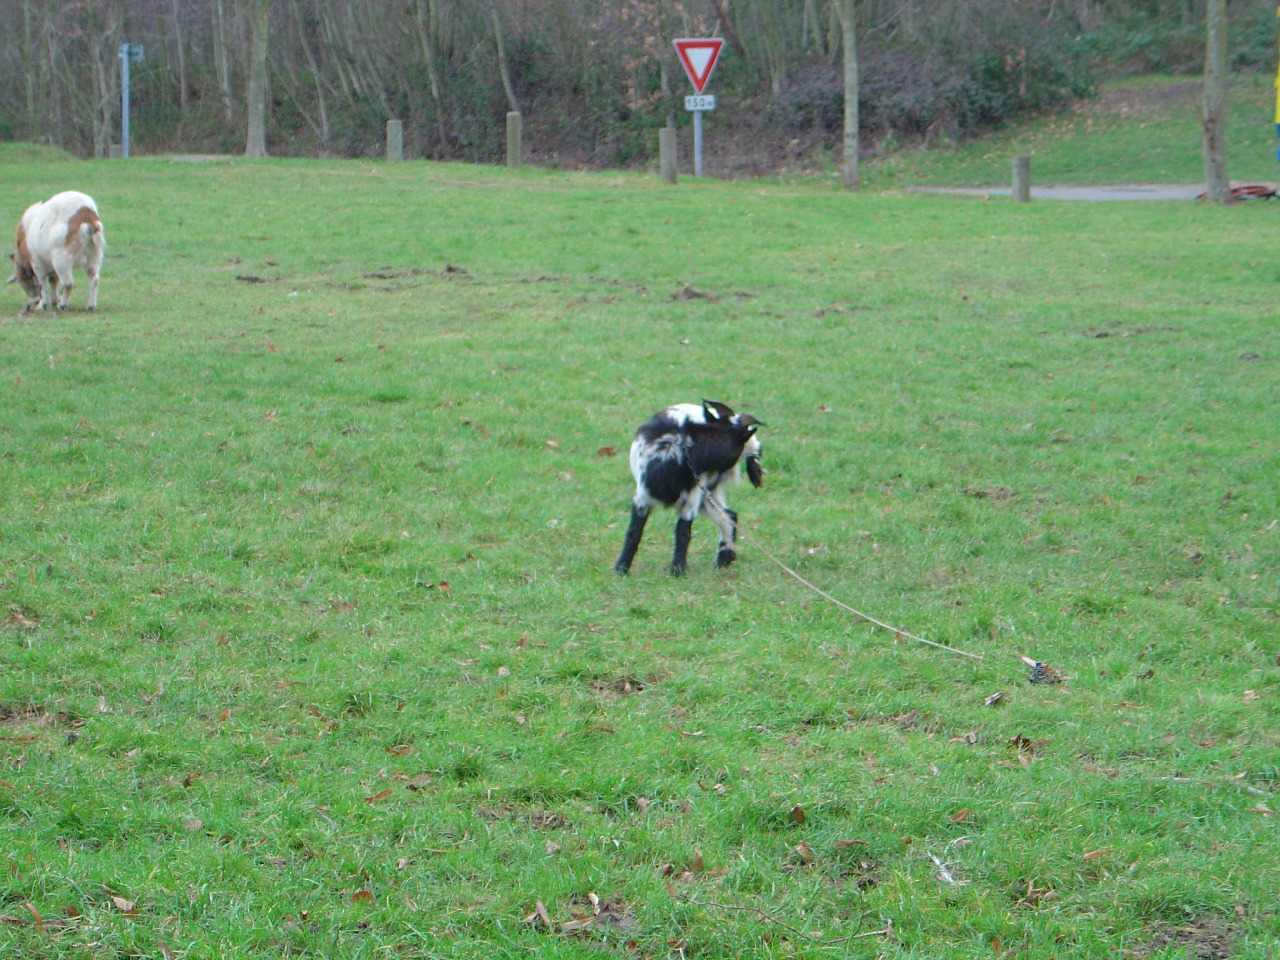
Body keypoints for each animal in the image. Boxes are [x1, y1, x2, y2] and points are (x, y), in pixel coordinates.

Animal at [616, 399, 762, 578]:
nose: (757, 452)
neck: (684, 451)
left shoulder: (692, 497)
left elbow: (683, 532)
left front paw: (677, 569)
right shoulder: (643, 495)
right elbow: (633, 531)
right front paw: (621, 568)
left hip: (705, 492)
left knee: (728, 516)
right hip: (707, 494)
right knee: (730, 515)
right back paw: (725, 559)